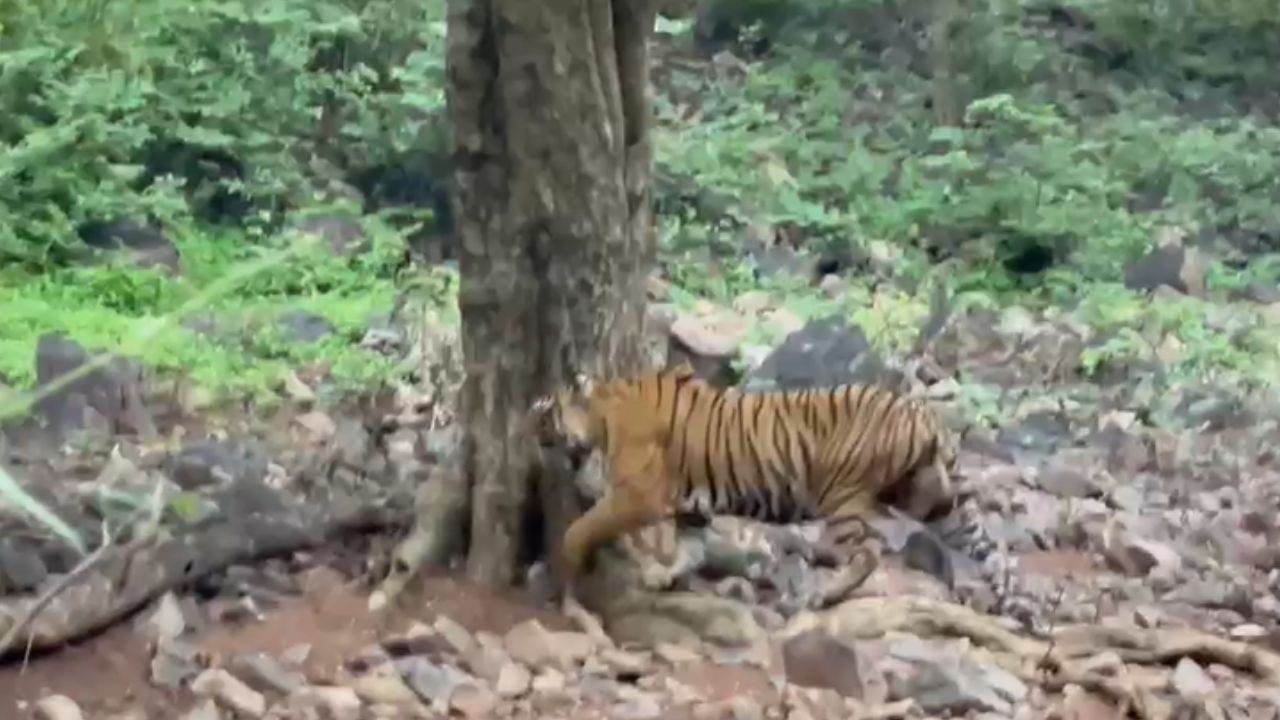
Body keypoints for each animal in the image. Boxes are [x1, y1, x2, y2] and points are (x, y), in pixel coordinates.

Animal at [527, 361, 961, 609]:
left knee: (867, 553)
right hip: (917, 492)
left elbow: (581, 528)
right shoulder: (692, 504)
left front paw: (565, 565)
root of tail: (922, 413)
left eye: (543, 412)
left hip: (841, 496)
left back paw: (825, 594)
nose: (526, 430)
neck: (604, 413)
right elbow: (691, 547)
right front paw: (665, 576)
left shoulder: (638, 495)